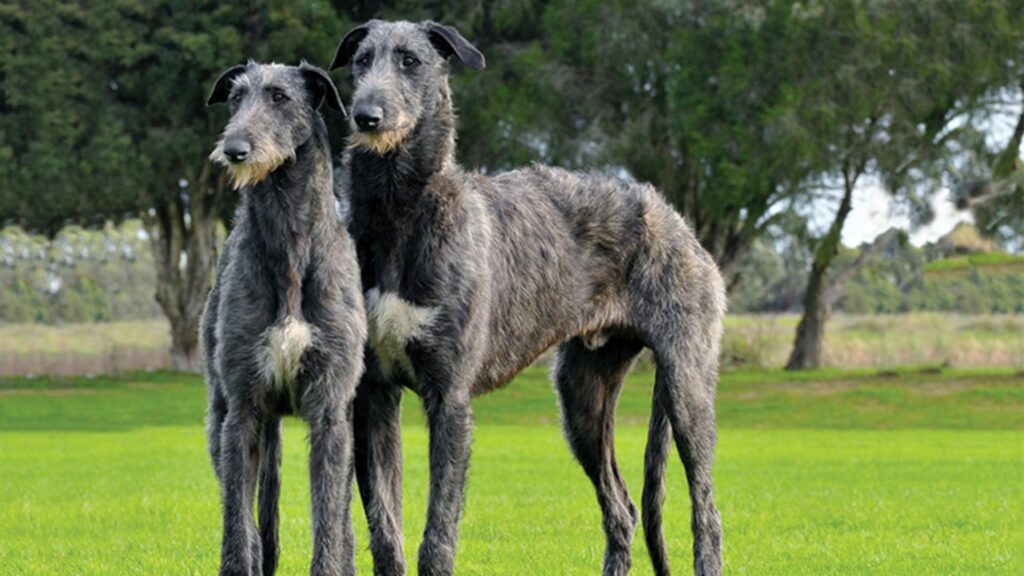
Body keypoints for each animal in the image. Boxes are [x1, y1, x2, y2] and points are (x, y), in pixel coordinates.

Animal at [201, 61, 366, 573]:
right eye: (236, 97)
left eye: (279, 96)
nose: (234, 149)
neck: (290, 240)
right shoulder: (242, 409)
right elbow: (238, 519)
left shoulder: (331, 409)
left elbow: (328, 517)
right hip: (222, 416)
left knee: (342, 518)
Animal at [331, 20, 724, 573]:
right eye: (362, 60)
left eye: (410, 60)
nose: (366, 117)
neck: (401, 213)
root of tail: (675, 219)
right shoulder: (374, 395)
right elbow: (386, 532)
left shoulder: (449, 398)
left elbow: (438, 535)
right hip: (583, 400)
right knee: (621, 507)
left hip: (687, 388)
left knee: (705, 510)